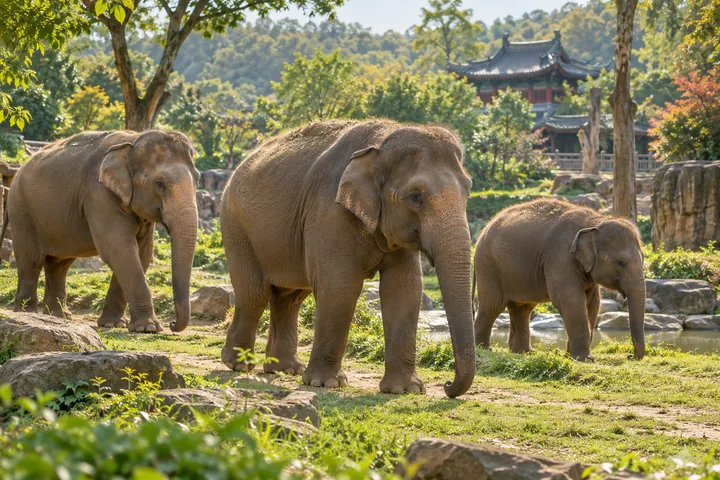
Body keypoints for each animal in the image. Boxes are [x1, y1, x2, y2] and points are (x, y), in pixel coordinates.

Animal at [0, 130, 200, 333]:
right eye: (160, 183)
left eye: (198, 179)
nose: (172, 323)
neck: (133, 140)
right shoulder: (99, 194)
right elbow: (120, 249)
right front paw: (149, 328)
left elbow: (141, 253)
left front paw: (114, 324)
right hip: (22, 212)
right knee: (31, 261)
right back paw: (27, 313)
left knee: (59, 265)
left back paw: (58, 316)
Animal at [220, 119, 476, 398]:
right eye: (415, 197)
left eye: (468, 191)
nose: (447, 386)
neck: (381, 142)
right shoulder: (328, 211)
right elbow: (340, 286)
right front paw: (324, 383)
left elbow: (404, 288)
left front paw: (404, 389)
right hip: (237, 229)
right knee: (255, 294)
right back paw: (238, 365)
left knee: (290, 298)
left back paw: (285, 370)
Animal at [473, 198, 645, 361]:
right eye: (620, 262)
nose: (630, 356)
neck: (595, 221)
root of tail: (483, 231)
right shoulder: (560, 257)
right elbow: (571, 300)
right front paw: (585, 359)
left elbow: (593, 302)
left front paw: (571, 356)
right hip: (488, 265)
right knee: (492, 305)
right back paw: (484, 348)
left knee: (522, 308)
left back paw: (524, 352)